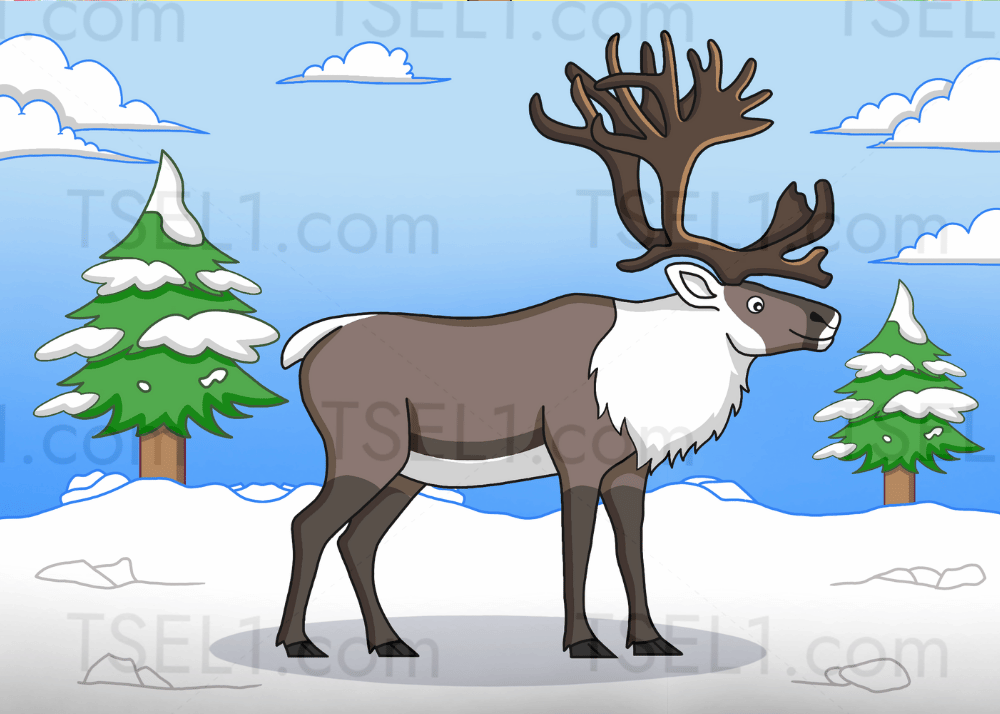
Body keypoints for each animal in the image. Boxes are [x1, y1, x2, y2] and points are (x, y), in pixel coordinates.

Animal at [276, 31, 840, 661]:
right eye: (755, 303)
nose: (829, 317)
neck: (654, 384)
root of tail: (310, 344)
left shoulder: (631, 468)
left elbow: (630, 550)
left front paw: (650, 640)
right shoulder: (578, 455)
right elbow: (578, 547)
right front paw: (584, 642)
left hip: (408, 469)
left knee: (359, 539)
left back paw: (390, 642)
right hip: (364, 450)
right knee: (309, 526)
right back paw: (297, 642)